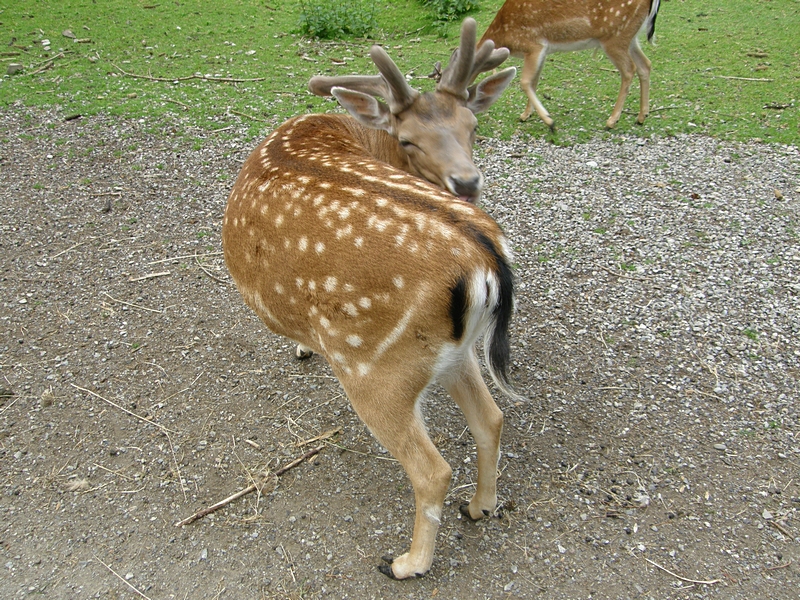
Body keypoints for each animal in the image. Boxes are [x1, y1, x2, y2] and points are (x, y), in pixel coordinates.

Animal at [220, 19, 520, 580]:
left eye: (474, 127)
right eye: (409, 138)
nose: (467, 182)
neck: (357, 134)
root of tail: (485, 259)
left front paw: (301, 346)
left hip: (373, 365)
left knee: (432, 469)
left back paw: (406, 562)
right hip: (452, 351)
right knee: (491, 417)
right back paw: (481, 506)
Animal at [482, 0, 664, 129]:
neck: (503, 34)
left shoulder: (533, 45)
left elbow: (525, 82)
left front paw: (549, 122)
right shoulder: (542, 52)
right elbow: (534, 82)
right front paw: (525, 115)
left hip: (615, 37)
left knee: (629, 69)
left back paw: (611, 121)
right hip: (630, 37)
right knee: (645, 64)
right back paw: (641, 117)